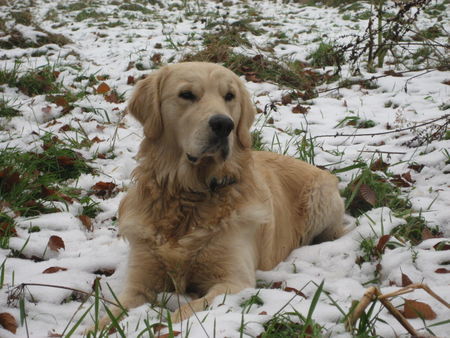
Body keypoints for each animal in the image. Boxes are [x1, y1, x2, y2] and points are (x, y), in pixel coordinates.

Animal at [92, 62, 344, 328]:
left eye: (229, 96)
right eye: (187, 94)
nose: (224, 125)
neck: (191, 195)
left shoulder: (233, 282)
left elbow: (185, 312)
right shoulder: (139, 282)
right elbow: (110, 315)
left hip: (320, 200)